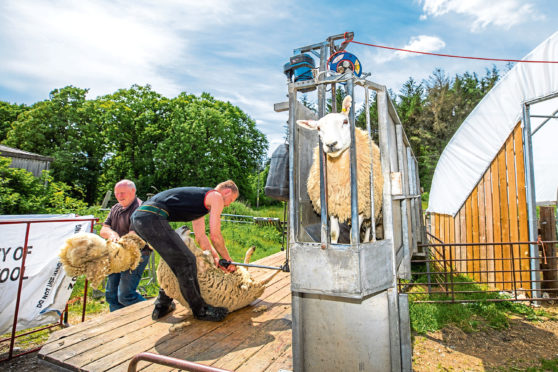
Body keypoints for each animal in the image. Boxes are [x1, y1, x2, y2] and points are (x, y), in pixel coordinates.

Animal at [298, 94, 384, 243]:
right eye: (318, 128)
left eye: (345, 121)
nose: (331, 144)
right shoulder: (333, 205)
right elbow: (334, 233)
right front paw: (333, 244)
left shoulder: (361, 207)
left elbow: (353, 235)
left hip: (373, 207)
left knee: (368, 227)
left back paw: (367, 241)